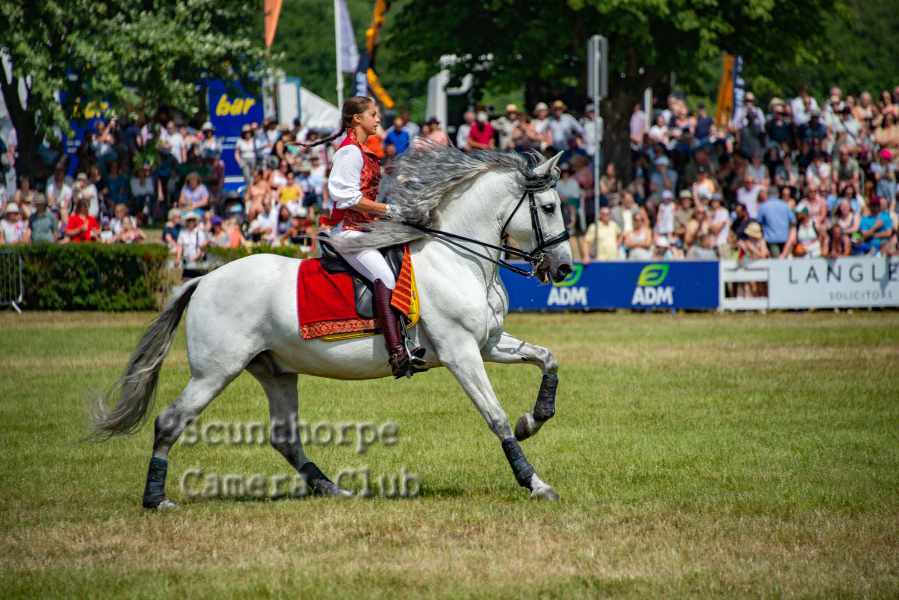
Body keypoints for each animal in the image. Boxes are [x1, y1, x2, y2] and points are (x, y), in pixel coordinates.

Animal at [95, 144, 572, 506]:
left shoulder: (489, 343)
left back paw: (333, 488)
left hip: (275, 371)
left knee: (285, 439)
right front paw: (535, 482)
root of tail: (204, 279)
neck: (459, 258)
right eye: (549, 207)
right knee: (169, 422)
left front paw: (535, 418)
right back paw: (156, 498)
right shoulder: (461, 352)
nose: (565, 268)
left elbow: (548, 359)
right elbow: (496, 417)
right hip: (215, 372)